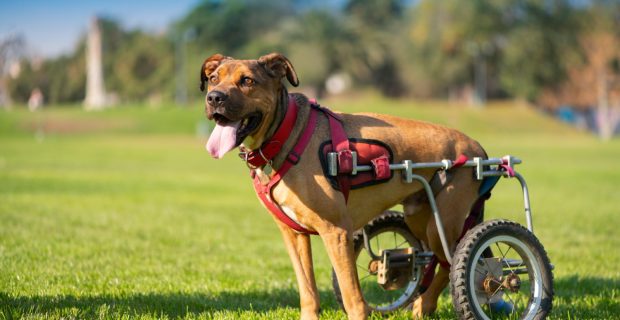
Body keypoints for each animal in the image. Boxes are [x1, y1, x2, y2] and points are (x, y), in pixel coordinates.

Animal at [201, 52, 486, 318]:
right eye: (213, 78)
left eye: (247, 81)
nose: (214, 98)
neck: (285, 132)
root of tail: (477, 148)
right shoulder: (294, 235)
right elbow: (308, 290)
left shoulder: (335, 232)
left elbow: (352, 297)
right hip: (418, 216)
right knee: (430, 259)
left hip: (441, 225)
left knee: (450, 261)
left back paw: (432, 301)